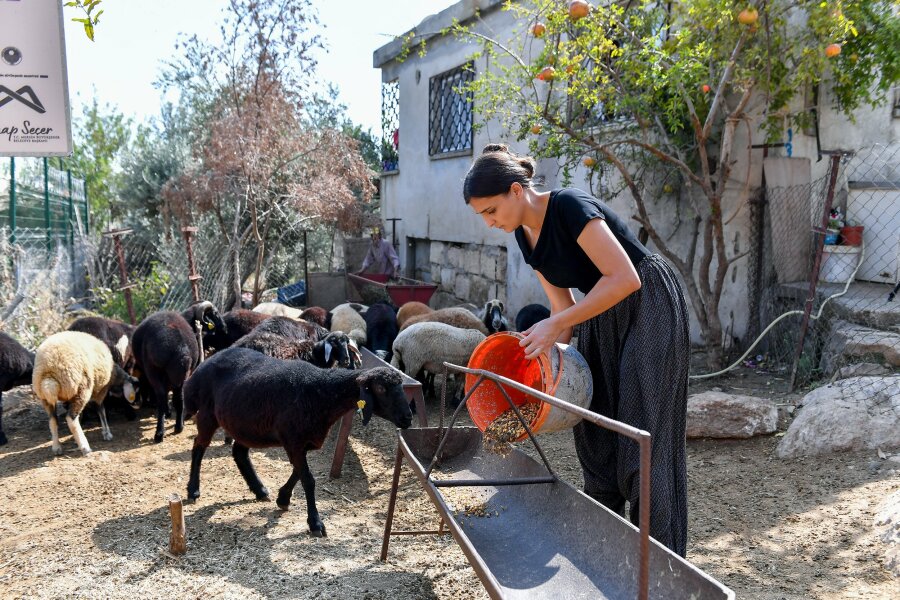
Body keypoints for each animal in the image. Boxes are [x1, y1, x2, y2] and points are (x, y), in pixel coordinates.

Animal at [184, 344, 414, 536]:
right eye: (381, 389)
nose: (407, 418)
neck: (322, 393)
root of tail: (207, 361)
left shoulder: (303, 440)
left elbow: (299, 472)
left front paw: (283, 498)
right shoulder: (293, 439)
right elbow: (308, 479)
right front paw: (315, 523)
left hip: (247, 425)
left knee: (239, 452)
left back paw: (259, 490)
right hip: (208, 413)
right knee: (198, 446)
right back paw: (193, 490)